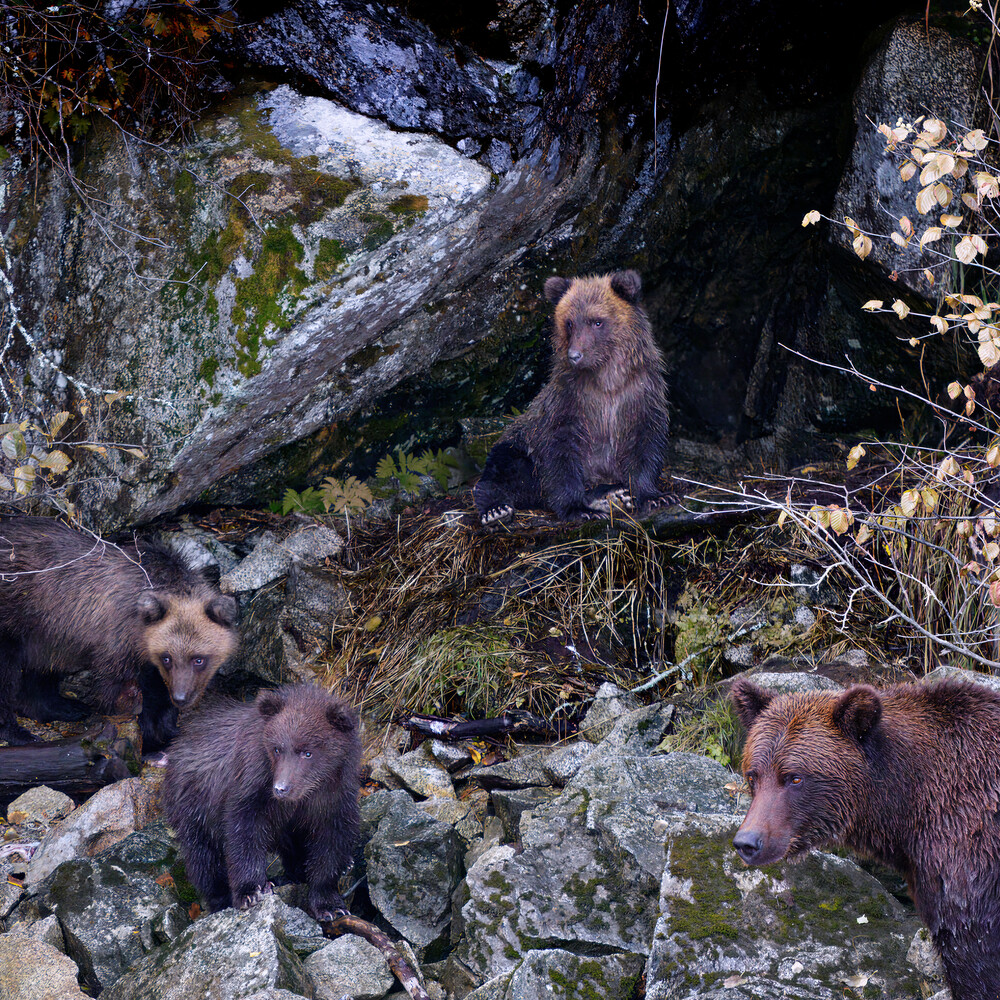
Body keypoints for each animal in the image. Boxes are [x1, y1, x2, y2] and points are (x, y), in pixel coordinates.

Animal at [0, 515, 239, 749]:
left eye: (199, 659)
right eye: (167, 658)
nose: (181, 697)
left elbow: (159, 692)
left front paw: (168, 730)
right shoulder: (118, 641)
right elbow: (121, 692)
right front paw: (146, 736)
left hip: (46, 628)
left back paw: (66, 707)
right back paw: (19, 732)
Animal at [162, 683, 362, 919]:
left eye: (307, 752)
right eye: (277, 748)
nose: (281, 788)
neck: (305, 795)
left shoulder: (333, 798)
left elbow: (331, 842)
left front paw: (330, 904)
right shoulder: (253, 785)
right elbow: (244, 832)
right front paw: (250, 891)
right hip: (194, 806)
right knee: (203, 857)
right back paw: (220, 897)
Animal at [472, 270, 675, 525]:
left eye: (597, 321)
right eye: (569, 322)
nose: (575, 355)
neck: (607, 381)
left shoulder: (640, 396)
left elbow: (645, 444)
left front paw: (655, 496)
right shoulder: (569, 402)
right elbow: (560, 453)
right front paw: (577, 509)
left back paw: (612, 495)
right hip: (518, 443)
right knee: (504, 468)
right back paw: (495, 510)